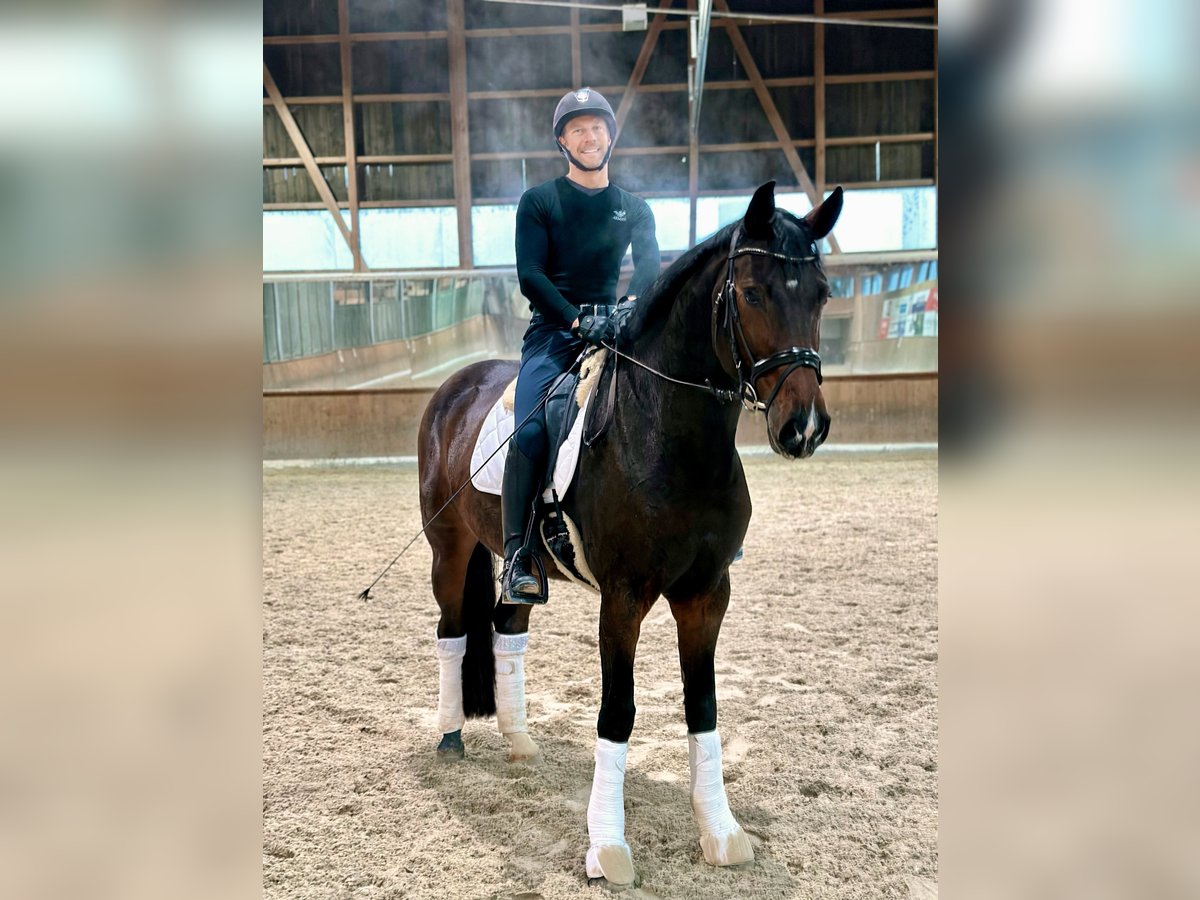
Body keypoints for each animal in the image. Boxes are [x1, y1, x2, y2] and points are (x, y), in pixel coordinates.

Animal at [416, 180, 843, 885]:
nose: (803, 426)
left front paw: (721, 833)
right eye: (754, 293)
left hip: (512, 561)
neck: (670, 438)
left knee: (507, 631)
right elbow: (617, 712)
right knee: (452, 631)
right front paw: (608, 848)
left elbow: (703, 707)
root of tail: (458, 384)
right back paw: (450, 737)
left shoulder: (706, 594)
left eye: (822, 294)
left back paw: (519, 741)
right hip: (449, 547)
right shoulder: (623, 598)